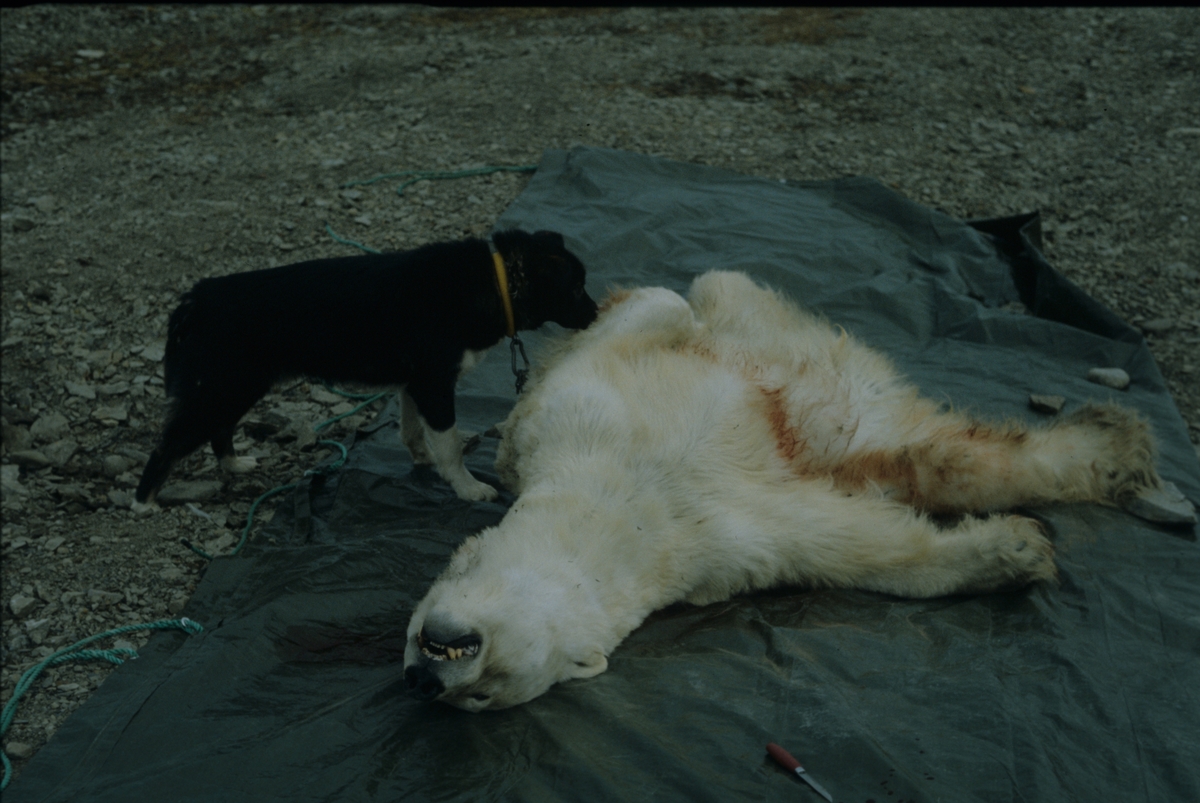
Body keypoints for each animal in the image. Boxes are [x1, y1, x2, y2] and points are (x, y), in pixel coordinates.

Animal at [133, 228, 597, 511]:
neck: (496, 279)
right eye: (575, 288)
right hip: (223, 387)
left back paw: (234, 465)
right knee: (169, 443)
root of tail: (195, 299)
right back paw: (143, 502)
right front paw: (467, 488)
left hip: (233, 387)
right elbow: (448, 443)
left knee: (218, 429)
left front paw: (421, 461)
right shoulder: (435, 383)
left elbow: (412, 430)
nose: (596, 313)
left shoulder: (415, 383)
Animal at [403, 272, 1161, 710]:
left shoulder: (574, 418)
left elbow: (654, 308)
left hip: (820, 365)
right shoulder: (726, 542)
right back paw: (1113, 447)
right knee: (929, 458)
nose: (425, 681)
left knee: (731, 293)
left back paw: (1116, 439)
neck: (622, 512)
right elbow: (855, 543)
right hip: (860, 415)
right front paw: (1014, 552)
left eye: (482, 688)